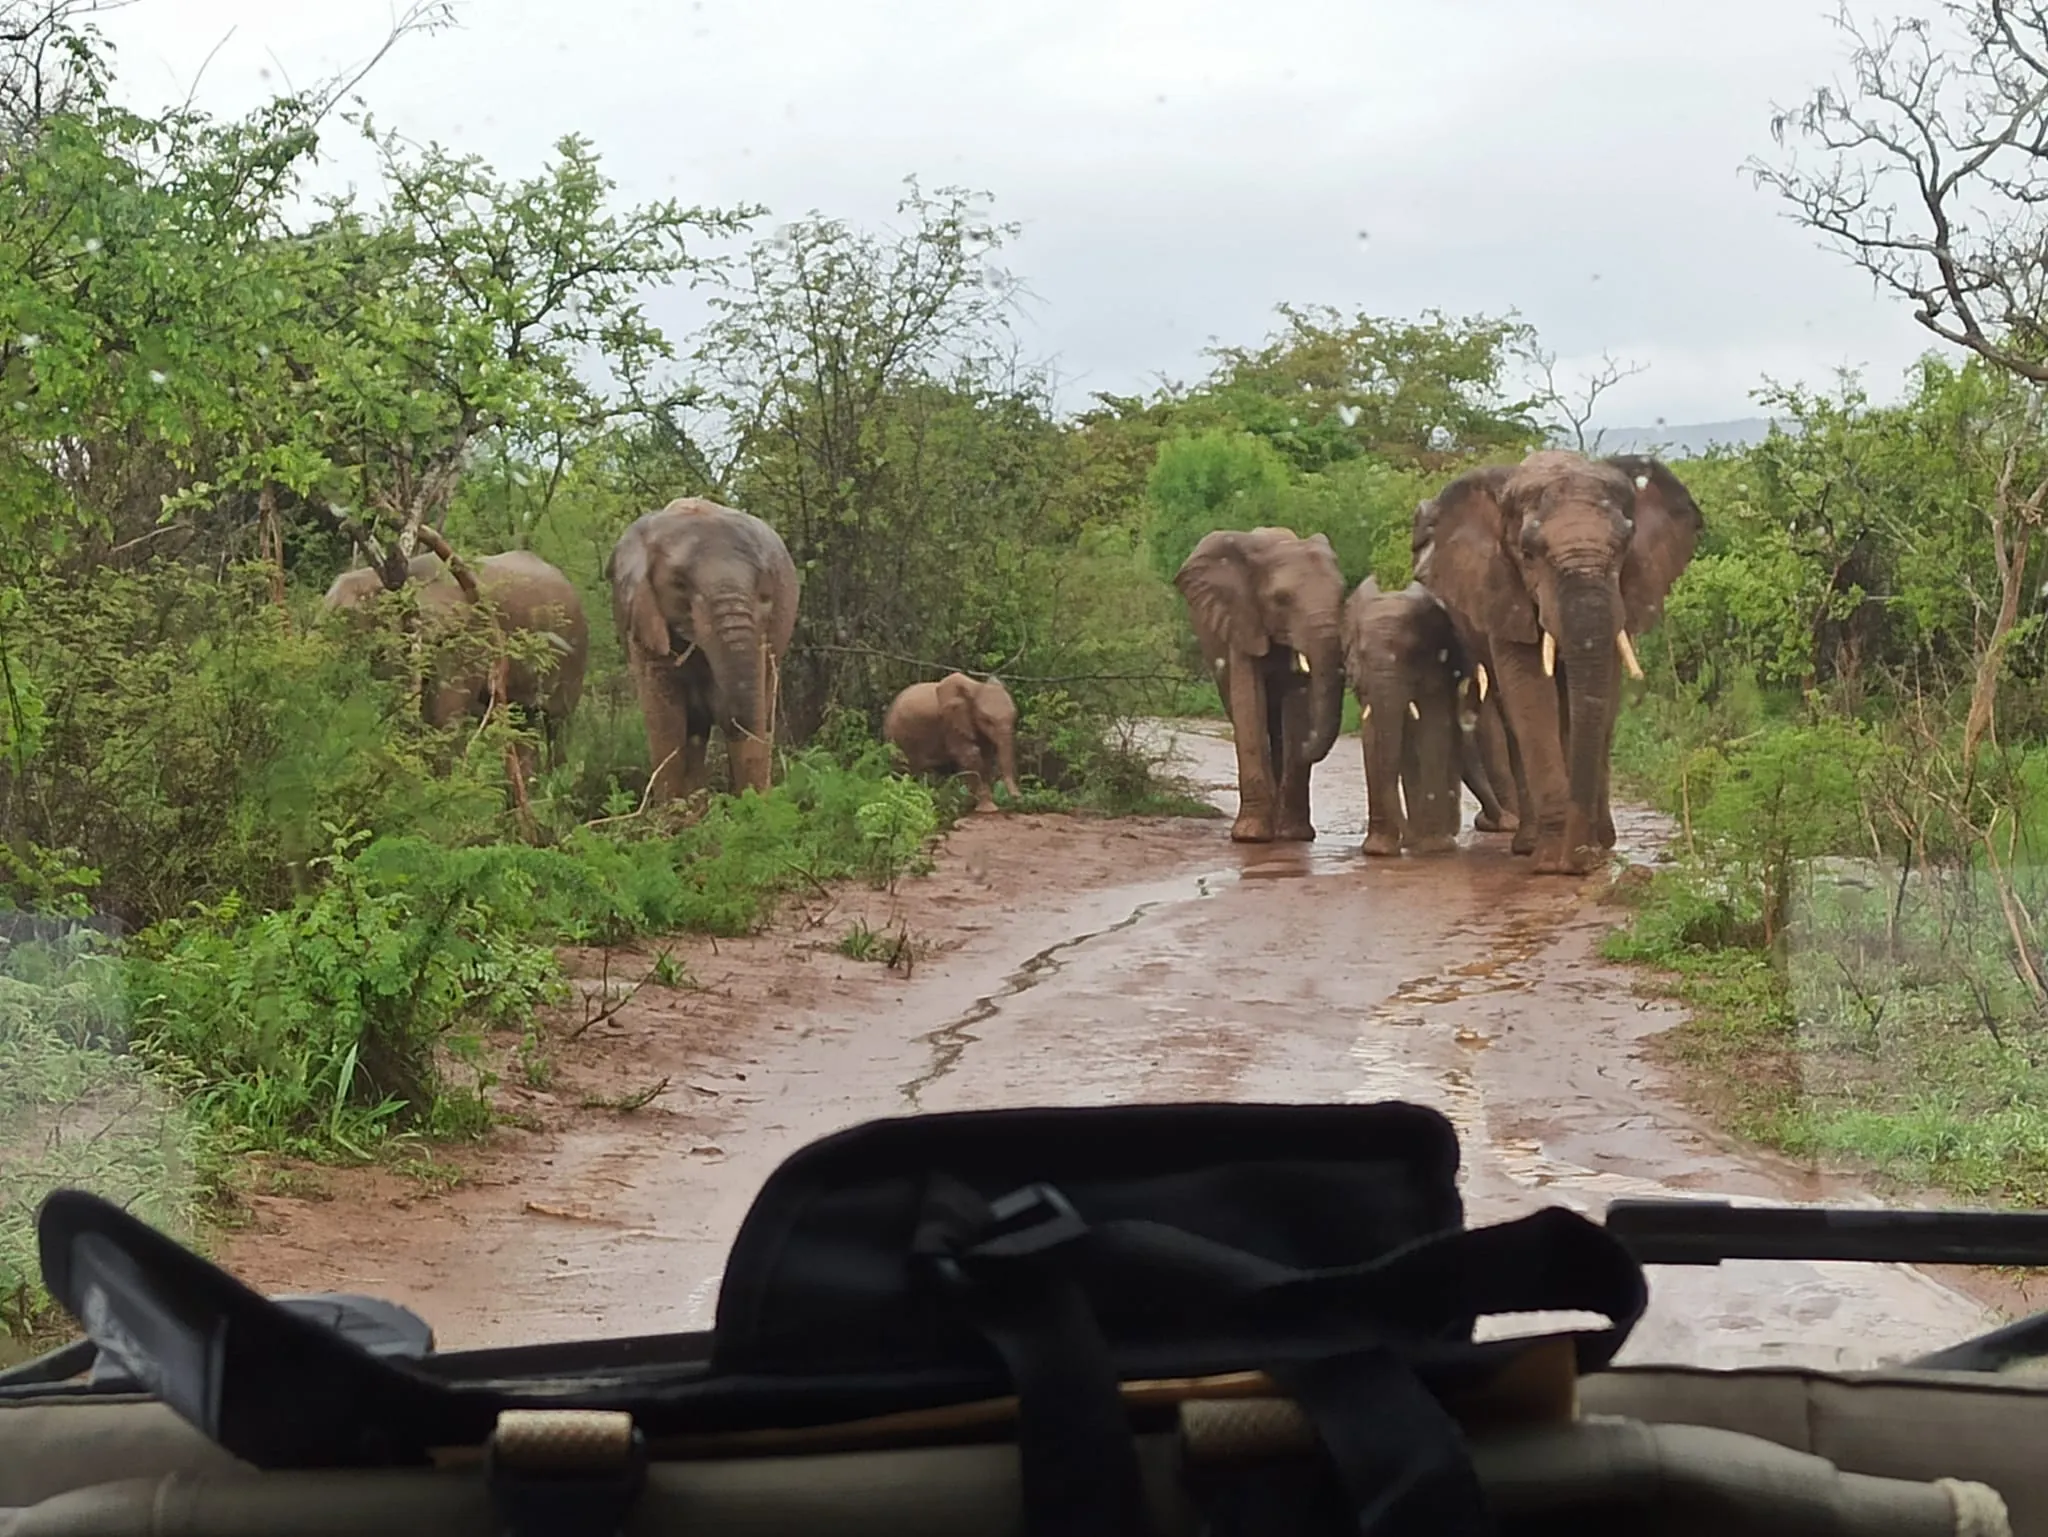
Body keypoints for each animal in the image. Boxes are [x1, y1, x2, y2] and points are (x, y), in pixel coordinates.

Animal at [882, 672, 1021, 812]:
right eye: (987, 720)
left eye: (1014, 716)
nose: (1017, 797)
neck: (976, 687)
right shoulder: (950, 723)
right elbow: (970, 756)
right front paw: (988, 808)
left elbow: (986, 757)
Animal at [1174, 527, 1347, 843]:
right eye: (1281, 599)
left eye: (1342, 595)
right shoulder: (1242, 620)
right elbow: (1250, 706)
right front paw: (1250, 837)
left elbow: (1296, 704)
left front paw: (1294, 835)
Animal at [1342, 577, 1497, 857]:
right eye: (1360, 654)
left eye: (1413, 652)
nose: (1408, 840)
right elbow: (1372, 733)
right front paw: (1380, 851)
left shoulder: (1439, 665)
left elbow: (1433, 727)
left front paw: (1433, 847)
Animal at [1415, 450, 1702, 875]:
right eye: (1528, 554)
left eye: (1624, 546)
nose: (1579, 861)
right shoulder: (1505, 590)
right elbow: (1532, 695)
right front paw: (1553, 863)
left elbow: (1602, 696)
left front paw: (1591, 852)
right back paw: (1528, 844)